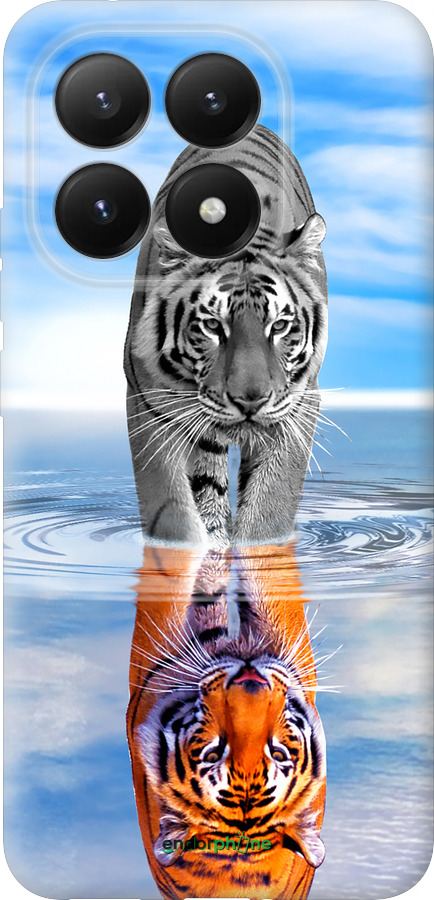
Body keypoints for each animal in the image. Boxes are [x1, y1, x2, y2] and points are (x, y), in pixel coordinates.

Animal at [124, 124, 328, 548]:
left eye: (279, 326)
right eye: (213, 326)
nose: (250, 401)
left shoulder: (299, 404)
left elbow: (270, 508)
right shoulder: (148, 400)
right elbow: (172, 510)